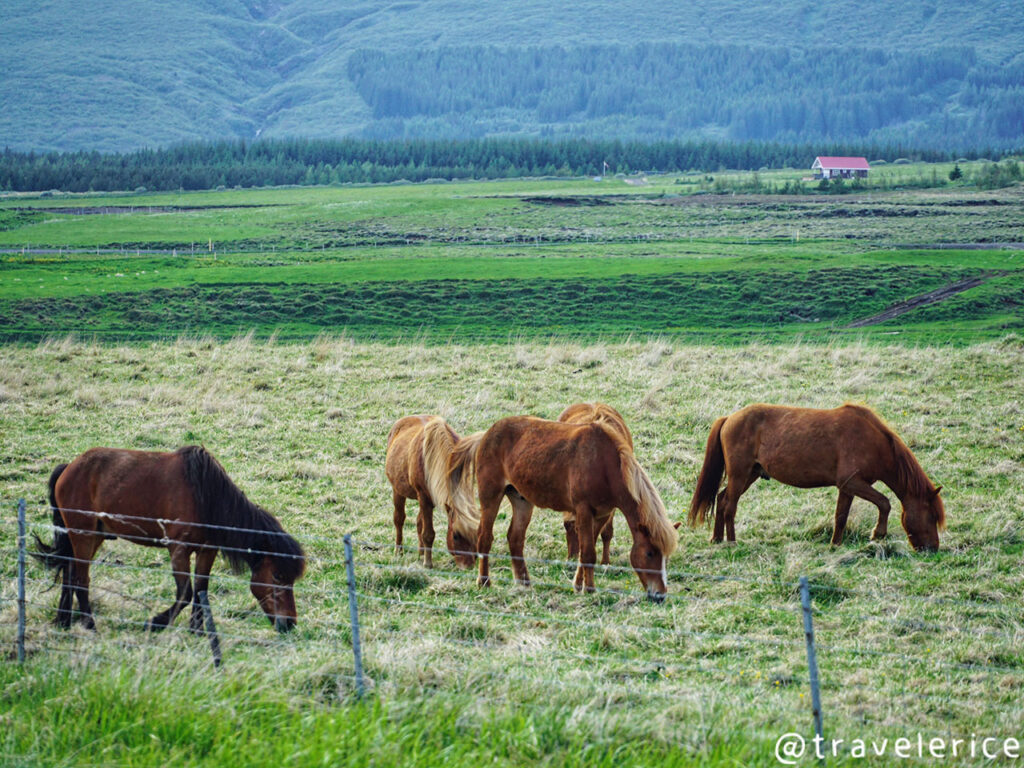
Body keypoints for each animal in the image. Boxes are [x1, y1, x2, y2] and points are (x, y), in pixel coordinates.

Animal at [34, 446, 306, 633]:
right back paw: (90, 625)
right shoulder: (178, 550)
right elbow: (185, 593)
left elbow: (201, 588)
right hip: (84, 535)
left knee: (69, 572)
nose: (289, 623)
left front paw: (197, 630)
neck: (206, 497)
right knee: (80, 579)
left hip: (92, 536)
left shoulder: (207, 550)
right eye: (278, 576)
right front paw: (155, 623)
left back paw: (65, 621)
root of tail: (68, 468)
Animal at [385, 415, 478, 568]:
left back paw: (421, 553)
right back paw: (399, 551)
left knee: (418, 522)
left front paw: (424, 557)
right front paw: (428, 563)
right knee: (399, 520)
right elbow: (428, 533)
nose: (468, 565)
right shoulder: (424, 497)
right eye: (455, 536)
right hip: (398, 491)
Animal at [688, 403, 945, 551]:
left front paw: (835, 544)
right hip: (740, 474)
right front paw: (877, 534)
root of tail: (729, 418)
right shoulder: (852, 482)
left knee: (722, 500)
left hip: (750, 474)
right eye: (932, 516)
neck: (872, 441)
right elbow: (885, 503)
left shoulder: (847, 487)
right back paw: (732, 542)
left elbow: (840, 517)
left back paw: (717, 539)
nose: (932, 548)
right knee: (730, 505)